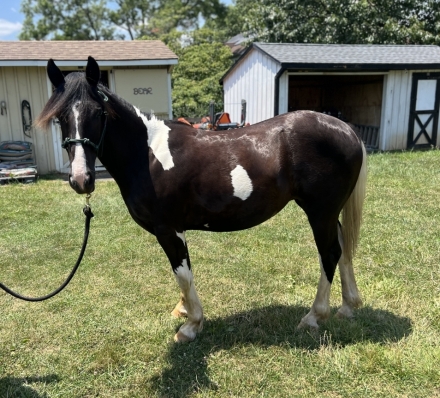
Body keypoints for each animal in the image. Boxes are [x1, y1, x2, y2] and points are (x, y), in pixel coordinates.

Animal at [35, 57, 368, 344]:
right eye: (61, 118)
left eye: (98, 113)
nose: (81, 179)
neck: (147, 156)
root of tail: (346, 129)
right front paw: (183, 310)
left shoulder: (168, 229)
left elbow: (182, 274)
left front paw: (191, 325)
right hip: (329, 213)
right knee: (343, 248)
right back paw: (348, 307)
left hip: (320, 212)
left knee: (329, 254)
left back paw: (314, 317)